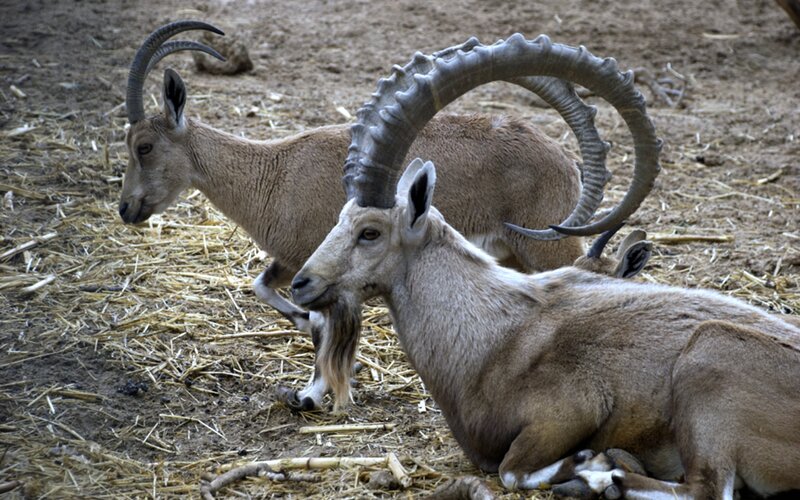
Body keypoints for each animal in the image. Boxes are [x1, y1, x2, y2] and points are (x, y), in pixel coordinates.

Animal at [119, 22, 653, 410]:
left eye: (144, 146)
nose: (127, 209)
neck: (271, 174)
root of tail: (564, 160)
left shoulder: (319, 265)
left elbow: (322, 323)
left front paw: (313, 392)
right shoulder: (296, 262)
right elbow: (264, 289)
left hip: (547, 245)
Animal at [292, 34, 800, 498]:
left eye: (370, 232)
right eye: (341, 218)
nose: (302, 283)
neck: (489, 335)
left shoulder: (570, 410)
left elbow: (511, 470)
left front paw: (592, 462)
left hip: (710, 363)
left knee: (706, 488)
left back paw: (604, 476)